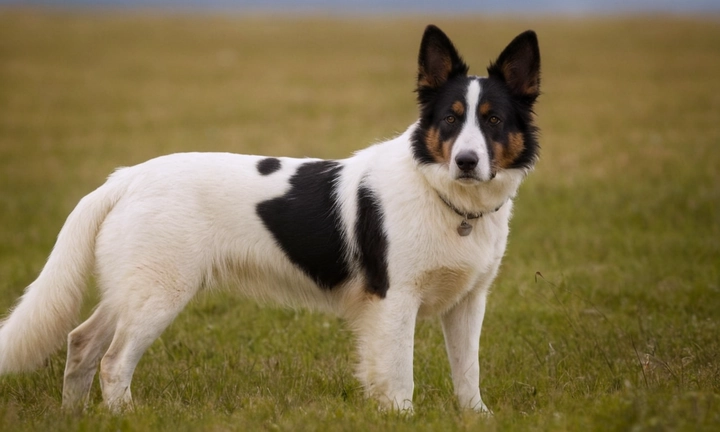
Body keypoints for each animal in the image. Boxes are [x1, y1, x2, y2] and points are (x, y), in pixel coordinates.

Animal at [0, 25, 540, 414]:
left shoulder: (468, 303)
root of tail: (126, 178)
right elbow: (398, 376)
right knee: (112, 363)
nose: (466, 161)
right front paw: (402, 418)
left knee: (81, 343)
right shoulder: (394, 301)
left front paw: (477, 418)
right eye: (450, 118)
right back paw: (124, 418)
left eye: (493, 120)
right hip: (158, 294)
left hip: (131, 290)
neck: (444, 197)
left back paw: (73, 416)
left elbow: (467, 374)